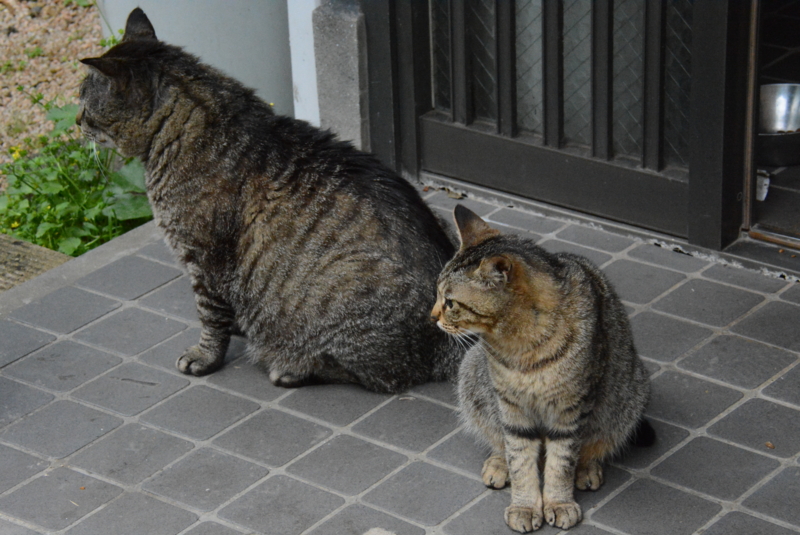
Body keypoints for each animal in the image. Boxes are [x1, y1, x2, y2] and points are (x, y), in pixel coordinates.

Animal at [76, 8, 462, 394]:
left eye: (82, 97)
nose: (77, 120)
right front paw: (235, 324)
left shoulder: (205, 258)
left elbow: (209, 315)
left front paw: (205, 355)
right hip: (445, 221)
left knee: (383, 375)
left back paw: (293, 367)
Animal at [434, 205, 652, 532]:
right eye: (437, 295)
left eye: (450, 302)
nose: (431, 315)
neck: (521, 346)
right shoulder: (511, 406)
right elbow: (519, 457)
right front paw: (524, 505)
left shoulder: (570, 408)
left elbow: (562, 461)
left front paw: (559, 502)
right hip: (471, 376)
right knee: (498, 440)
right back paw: (498, 465)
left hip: (629, 391)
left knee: (594, 444)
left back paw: (587, 469)